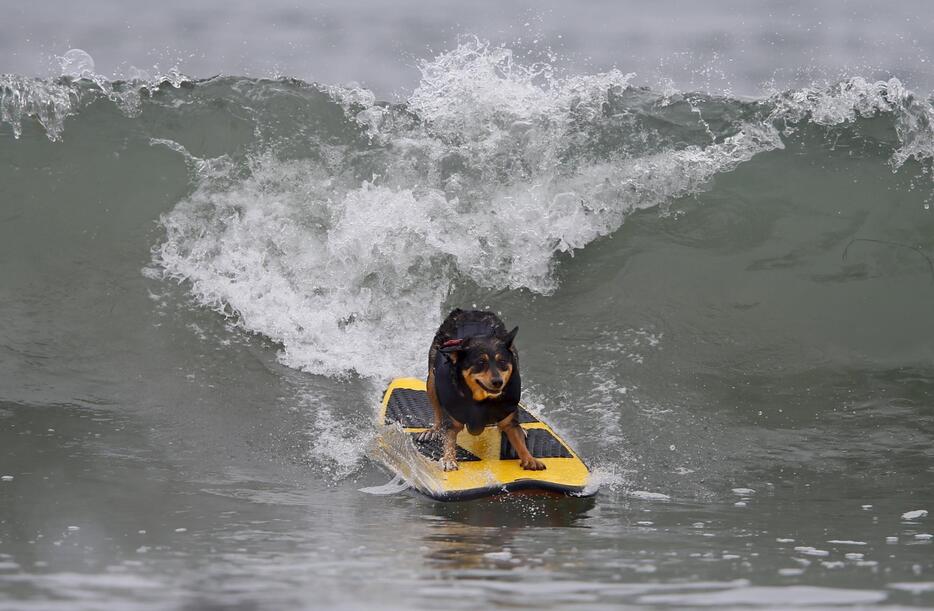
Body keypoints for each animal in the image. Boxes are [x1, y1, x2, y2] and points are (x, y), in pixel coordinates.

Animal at [420, 310, 544, 474]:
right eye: (480, 363)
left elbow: (516, 437)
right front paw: (448, 459)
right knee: (437, 409)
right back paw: (433, 430)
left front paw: (529, 459)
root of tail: (468, 312)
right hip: (432, 379)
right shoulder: (453, 420)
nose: (498, 382)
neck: (482, 399)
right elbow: (449, 437)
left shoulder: (508, 416)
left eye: (502, 362)